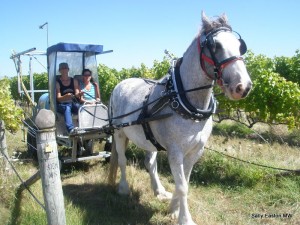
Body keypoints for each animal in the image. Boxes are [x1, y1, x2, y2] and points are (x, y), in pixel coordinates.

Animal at [109, 11, 252, 224]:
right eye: (215, 46)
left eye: (239, 45)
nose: (243, 87)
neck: (185, 101)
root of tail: (120, 84)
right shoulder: (175, 152)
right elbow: (183, 185)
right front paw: (185, 218)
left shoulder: (195, 151)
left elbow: (185, 181)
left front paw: (173, 208)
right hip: (119, 133)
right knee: (122, 160)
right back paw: (123, 188)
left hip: (148, 139)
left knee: (150, 163)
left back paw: (159, 191)